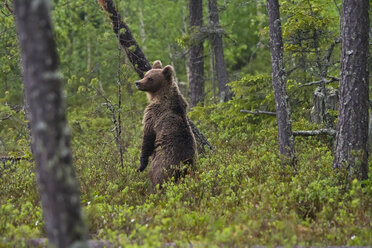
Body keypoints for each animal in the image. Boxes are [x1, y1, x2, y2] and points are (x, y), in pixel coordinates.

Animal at [135, 60, 196, 188]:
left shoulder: (153, 115)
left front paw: (140, 166)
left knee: (156, 178)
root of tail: (183, 167)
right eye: (145, 75)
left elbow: (147, 138)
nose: (138, 83)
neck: (159, 95)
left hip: (162, 165)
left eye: (150, 78)